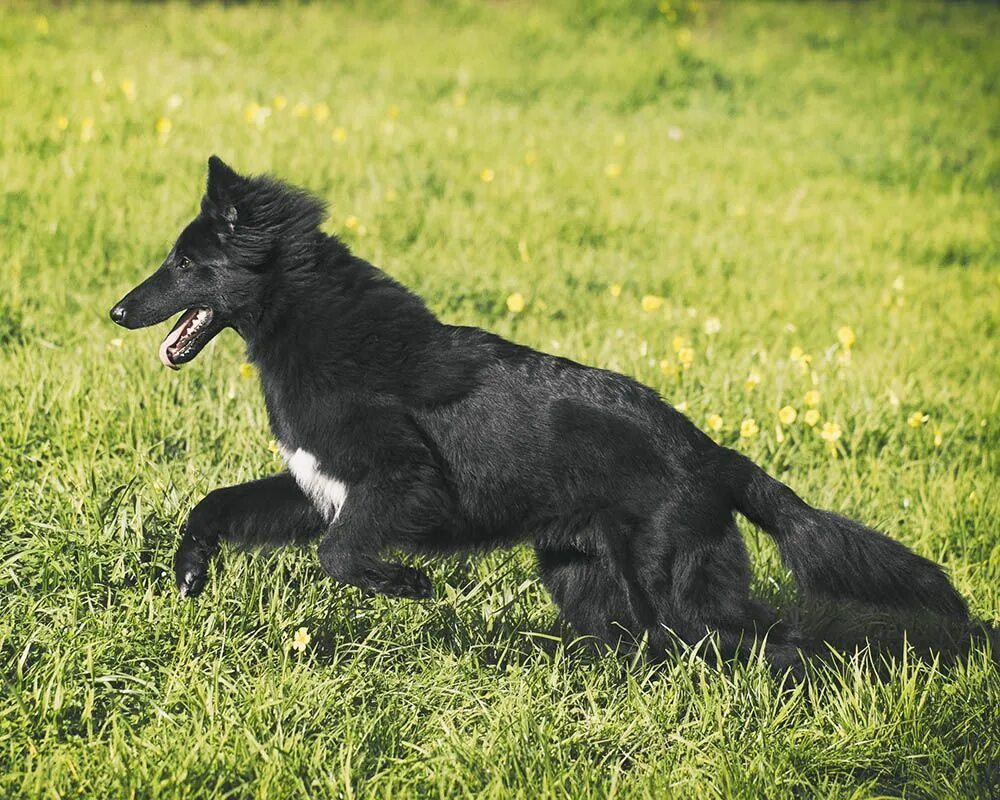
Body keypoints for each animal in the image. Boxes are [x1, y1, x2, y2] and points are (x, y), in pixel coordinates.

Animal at [109, 156, 968, 668]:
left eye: (185, 262)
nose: (115, 312)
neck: (308, 322)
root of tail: (713, 452)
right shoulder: (317, 486)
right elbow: (218, 505)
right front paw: (189, 570)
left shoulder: (398, 479)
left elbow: (340, 555)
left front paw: (408, 586)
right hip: (589, 582)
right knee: (648, 646)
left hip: (679, 591)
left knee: (773, 641)